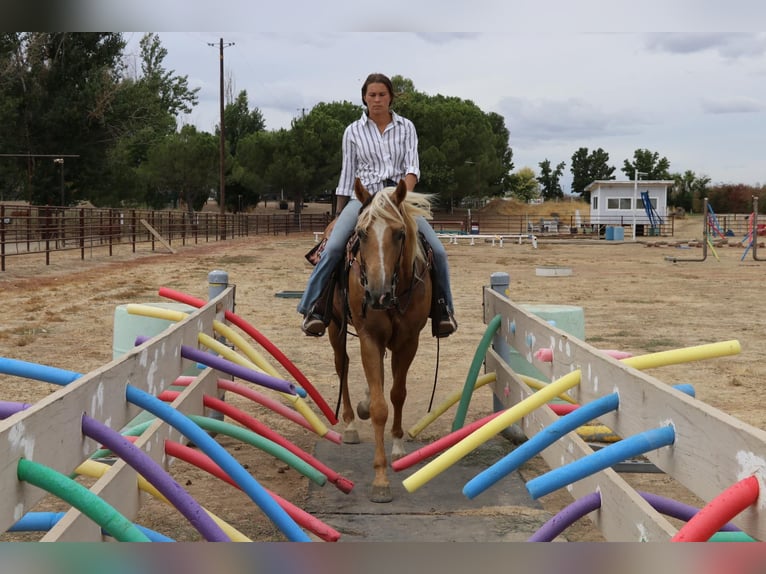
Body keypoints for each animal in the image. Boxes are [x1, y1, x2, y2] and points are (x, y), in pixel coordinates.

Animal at [328, 180, 432, 504]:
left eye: (399, 233)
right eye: (361, 234)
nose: (377, 295)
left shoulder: (409, 340)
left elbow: (397, 394)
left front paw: (397, 446)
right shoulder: (369, 338)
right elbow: (378, 407)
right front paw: (380, 479)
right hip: (335, 328)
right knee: (343, 366)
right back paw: (350, 422)